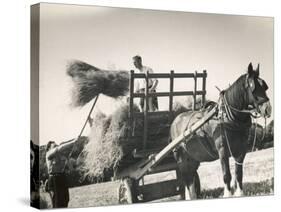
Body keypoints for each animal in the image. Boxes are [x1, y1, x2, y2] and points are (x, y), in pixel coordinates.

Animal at [170, 63, 270, 199]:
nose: (268, 109)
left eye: (264, 86)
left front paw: (240, 193)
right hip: (180, 157)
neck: (228, 118)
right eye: (253, 87)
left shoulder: (241, 149)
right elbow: (226, 174)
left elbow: (238, 173)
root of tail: (175, 121)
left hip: (192, 158)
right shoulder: (222, 150)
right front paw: (227, 194)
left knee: (190, 176)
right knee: (186, 178)